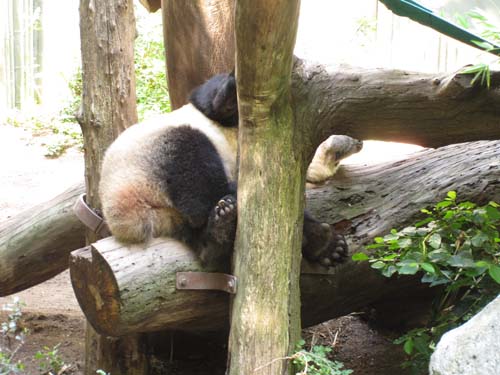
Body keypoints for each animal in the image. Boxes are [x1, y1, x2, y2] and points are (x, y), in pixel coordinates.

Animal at [99, 72, 346, 268]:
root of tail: (122, 211)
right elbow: (212, 100)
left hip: (166, 218)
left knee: (191, 226)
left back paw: (216, 238)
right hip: (152, 156)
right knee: (195, 168)